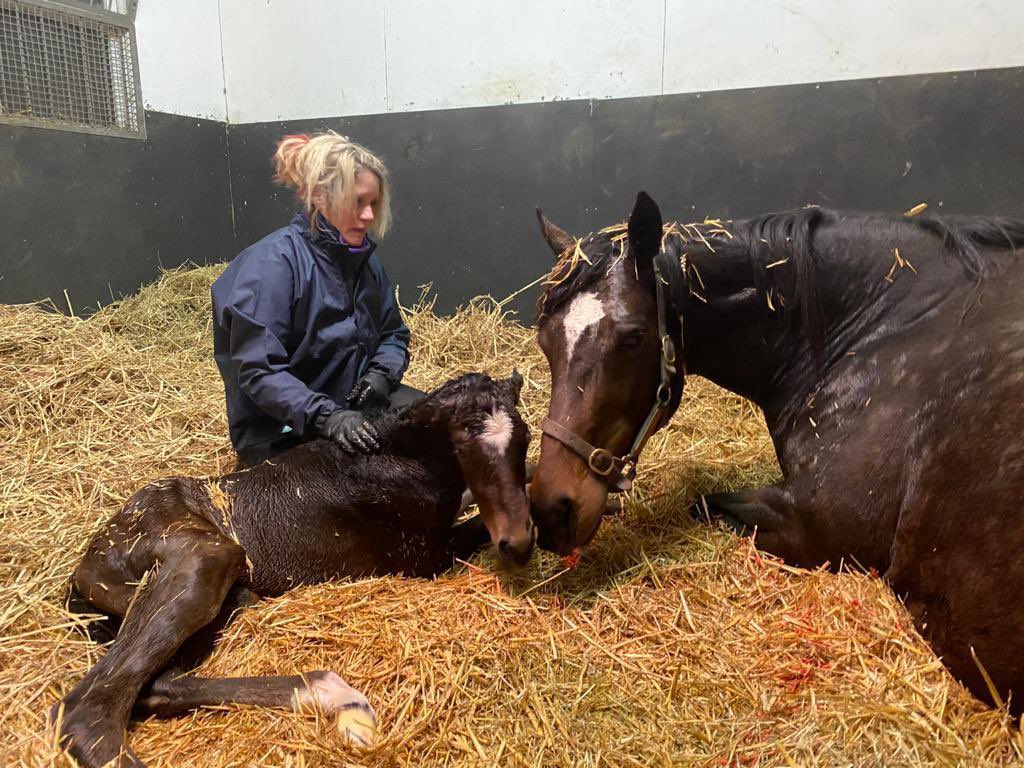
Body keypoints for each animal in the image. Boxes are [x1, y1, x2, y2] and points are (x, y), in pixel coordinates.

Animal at [56, 372, 533, 768]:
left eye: (525, 438)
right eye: (464, 446)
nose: (519, 543)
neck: (395, 459)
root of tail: (85, 572)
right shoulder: (425, 558)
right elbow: (475, 524)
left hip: (232, 595)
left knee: (161, 685)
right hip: (204, 557)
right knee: (91, 709)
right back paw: (339, 697)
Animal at [528, 191, 1024, 712]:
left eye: (632, 337)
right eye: (545, 339)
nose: (552, 509)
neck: (882, 328)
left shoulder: (818, 531)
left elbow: (702, 504)